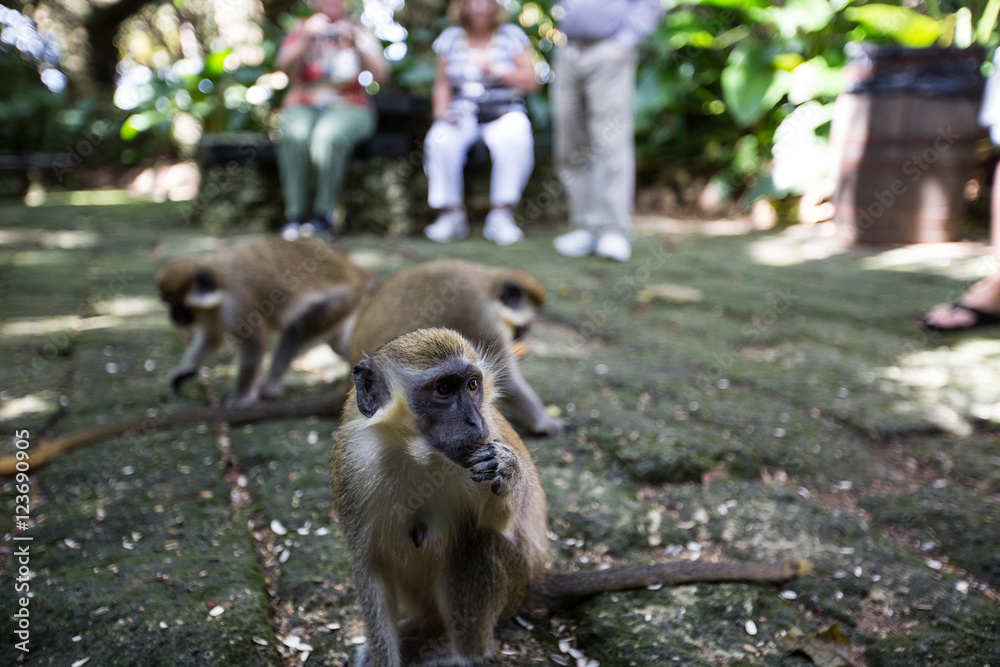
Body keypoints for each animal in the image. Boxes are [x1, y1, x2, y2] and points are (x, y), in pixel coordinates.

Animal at [155, 238, 374, 407]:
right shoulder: (212, 313)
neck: (218, 280)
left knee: (295, 332)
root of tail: (357, 271)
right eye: (167, 302)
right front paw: (186, 371)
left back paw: (270, 389)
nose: (173, 317)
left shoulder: (239, 304)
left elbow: (255, 345)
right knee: (338, 345)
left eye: (177, 304)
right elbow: (211, 338)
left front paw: (242, 398)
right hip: (345, 305)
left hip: (340, 299)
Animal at [331, 328, 811, 667]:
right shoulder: (353, 467)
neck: (419, 455)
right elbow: (369, 566)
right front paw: (382, 659)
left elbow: (497, 525)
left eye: (472, 385)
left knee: (477, 543)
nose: (474, 423)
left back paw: (462, 653)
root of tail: (538, 577)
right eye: (444, 390)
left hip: (515, 585)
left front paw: (507, 470)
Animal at [347, 259, 564, 437]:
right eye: (524, 327)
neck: (488, 285)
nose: (522, 336)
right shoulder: (482, 316)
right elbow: (506, 379)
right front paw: (544, 422)